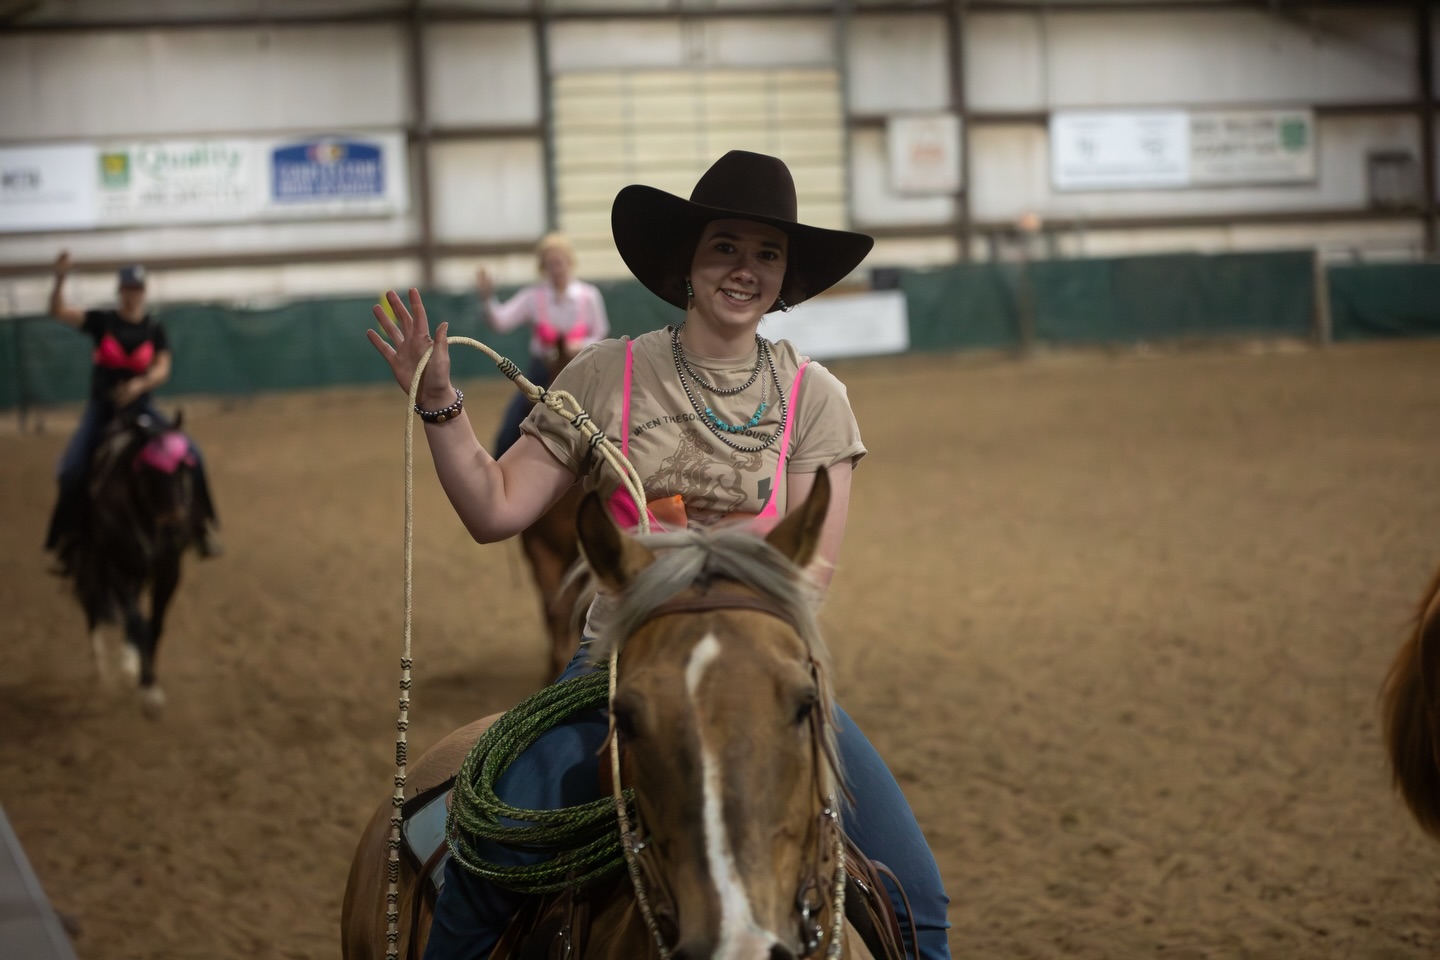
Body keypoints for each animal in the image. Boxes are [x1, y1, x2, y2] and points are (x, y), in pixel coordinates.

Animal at [62, 406, 203, 715]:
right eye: (147, 472)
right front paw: (148, 691)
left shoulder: (169, 570)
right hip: (94, 566)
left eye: (184, 468)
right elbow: (137, 622)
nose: (174, 530)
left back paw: (128, 661)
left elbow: (154, 625)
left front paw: (146, 679)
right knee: (94, 607)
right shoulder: (115, 567)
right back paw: (103, 668)